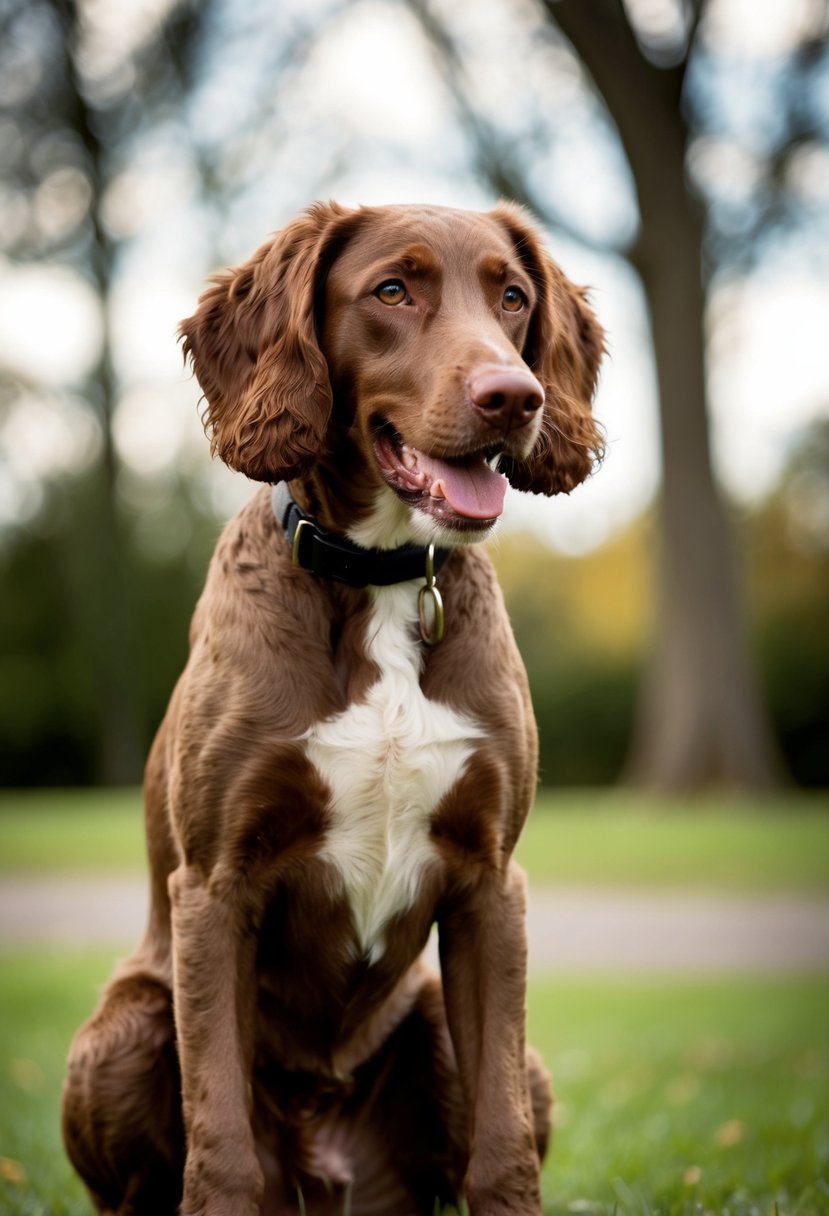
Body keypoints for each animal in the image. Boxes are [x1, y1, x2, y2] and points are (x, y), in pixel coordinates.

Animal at [62, 201, 600, 1216]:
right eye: (392, 290)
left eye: (512, 296)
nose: (515, 397)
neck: (379, 577)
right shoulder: (214, 887)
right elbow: (220, 1140)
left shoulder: (489, 886)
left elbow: (500, 1141)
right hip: (123, 1029)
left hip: (461, 1034)